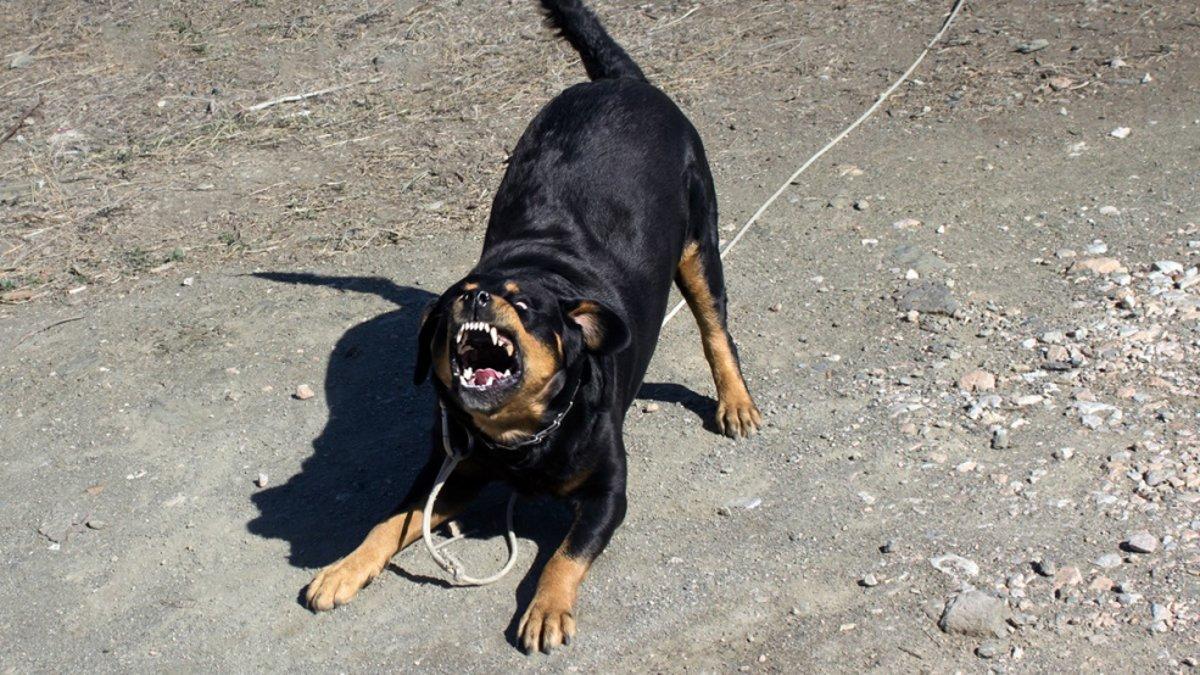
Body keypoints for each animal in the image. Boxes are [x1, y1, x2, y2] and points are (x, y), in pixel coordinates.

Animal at [304, 0, 763, 653]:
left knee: (715, 328)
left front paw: (546, 608)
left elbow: (565, 556)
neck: (516, 439)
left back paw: (735, 401)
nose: (478, 299)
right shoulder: (450, 475)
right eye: (458, 298)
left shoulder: (608, 493)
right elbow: (387, 523)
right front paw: (343, 569)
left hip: (700, 245)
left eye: (522, 308)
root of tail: (621, 82)